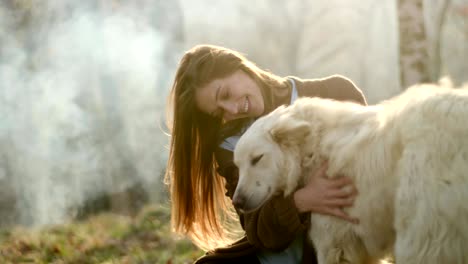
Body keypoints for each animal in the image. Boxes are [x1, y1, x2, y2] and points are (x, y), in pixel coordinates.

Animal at [233, 81, 468, 262]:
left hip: (419, 235)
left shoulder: (334, 243)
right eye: (237, 166)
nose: (237, 202)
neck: (314, 146)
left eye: (257, 158)